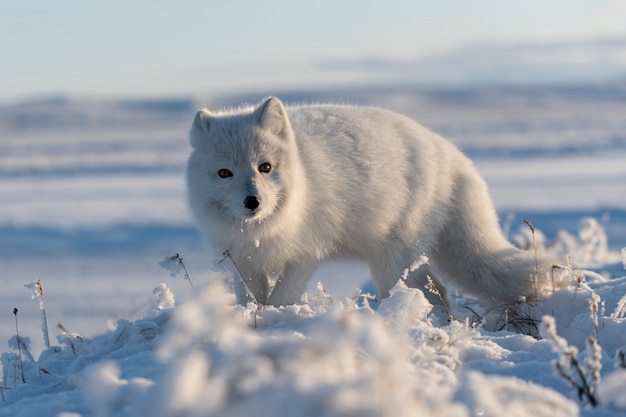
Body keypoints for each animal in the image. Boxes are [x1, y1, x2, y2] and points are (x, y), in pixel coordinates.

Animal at [186, 96, 560, 306]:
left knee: (431, 291)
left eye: (265, 167)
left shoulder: (308, 253)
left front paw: (272, 325)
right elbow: (249, 300)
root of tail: (451, 153)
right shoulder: (242, 261)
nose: (253, 201)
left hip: (393, 260)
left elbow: (281, 300)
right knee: (438, 290)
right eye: (224, 173)